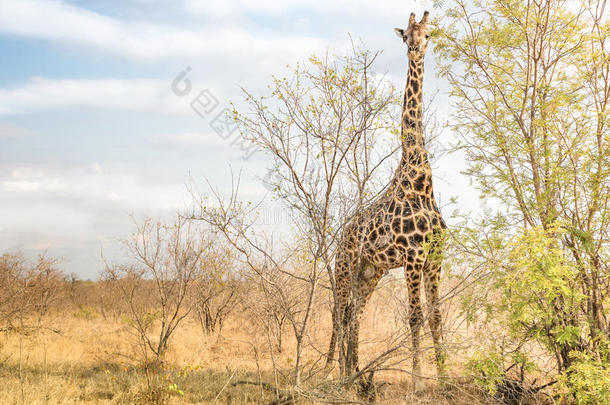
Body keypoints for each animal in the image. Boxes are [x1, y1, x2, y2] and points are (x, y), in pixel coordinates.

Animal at [326, 10, 444, 388]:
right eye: (405, 34)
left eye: (427, 33)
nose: (415, 48)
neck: (421, 180)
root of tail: (342, 235)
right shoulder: (413, 257)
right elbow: (415, 316)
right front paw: (419, 381)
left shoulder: (435, 257)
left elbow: (435, 316)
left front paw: (446, 375)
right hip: (345, 268)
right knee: (338, 312)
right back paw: (330, 371)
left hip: (370, 272)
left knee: (353, 315)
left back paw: (353, 372)